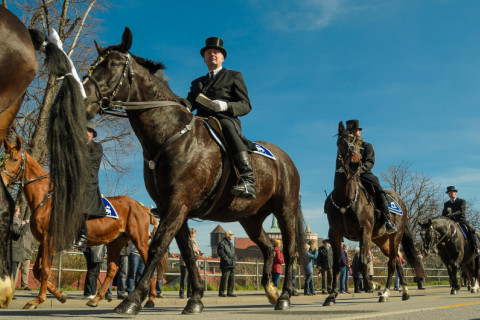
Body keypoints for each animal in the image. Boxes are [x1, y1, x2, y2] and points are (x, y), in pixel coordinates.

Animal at [0, 138, 161, 310]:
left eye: (15, 159)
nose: (2, 180)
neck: (46, 200)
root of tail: (143, 207)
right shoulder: (44, 242)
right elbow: (38, 270)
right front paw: (60, 295)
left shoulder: (49, 240)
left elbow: (45, 270)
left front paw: (38, 300)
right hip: (116, 242)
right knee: (113, 268)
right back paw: (96, 298)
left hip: (139, 240)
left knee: (150, 264)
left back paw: (151, 298)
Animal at [83, 27, 306, 316]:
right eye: (94, 65)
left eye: (111, 65)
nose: (84, 100)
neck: (170, 135)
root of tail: (284, 158)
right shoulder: (172, 207)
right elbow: (187, 253)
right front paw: (195, 298)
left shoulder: (179, 203)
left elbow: (157, 247)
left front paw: (132, 300)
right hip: (250, 218)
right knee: (269, 248)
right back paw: (270, 290)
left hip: (285, 210)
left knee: (289, 251)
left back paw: (285, 296)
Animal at [322, 122, 424, 304]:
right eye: (341, 142)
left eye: (357, 143)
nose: (354, 164)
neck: (345, 198)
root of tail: (401, 203)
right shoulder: (335, 233)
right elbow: (337, 264)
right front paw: (332, 295)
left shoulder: (364, 232)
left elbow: (363, 262)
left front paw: (373, 285)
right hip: (382, 240)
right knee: (397, 261)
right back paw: (403, 291)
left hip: (394, 236)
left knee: (392, 262)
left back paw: (387, 292)